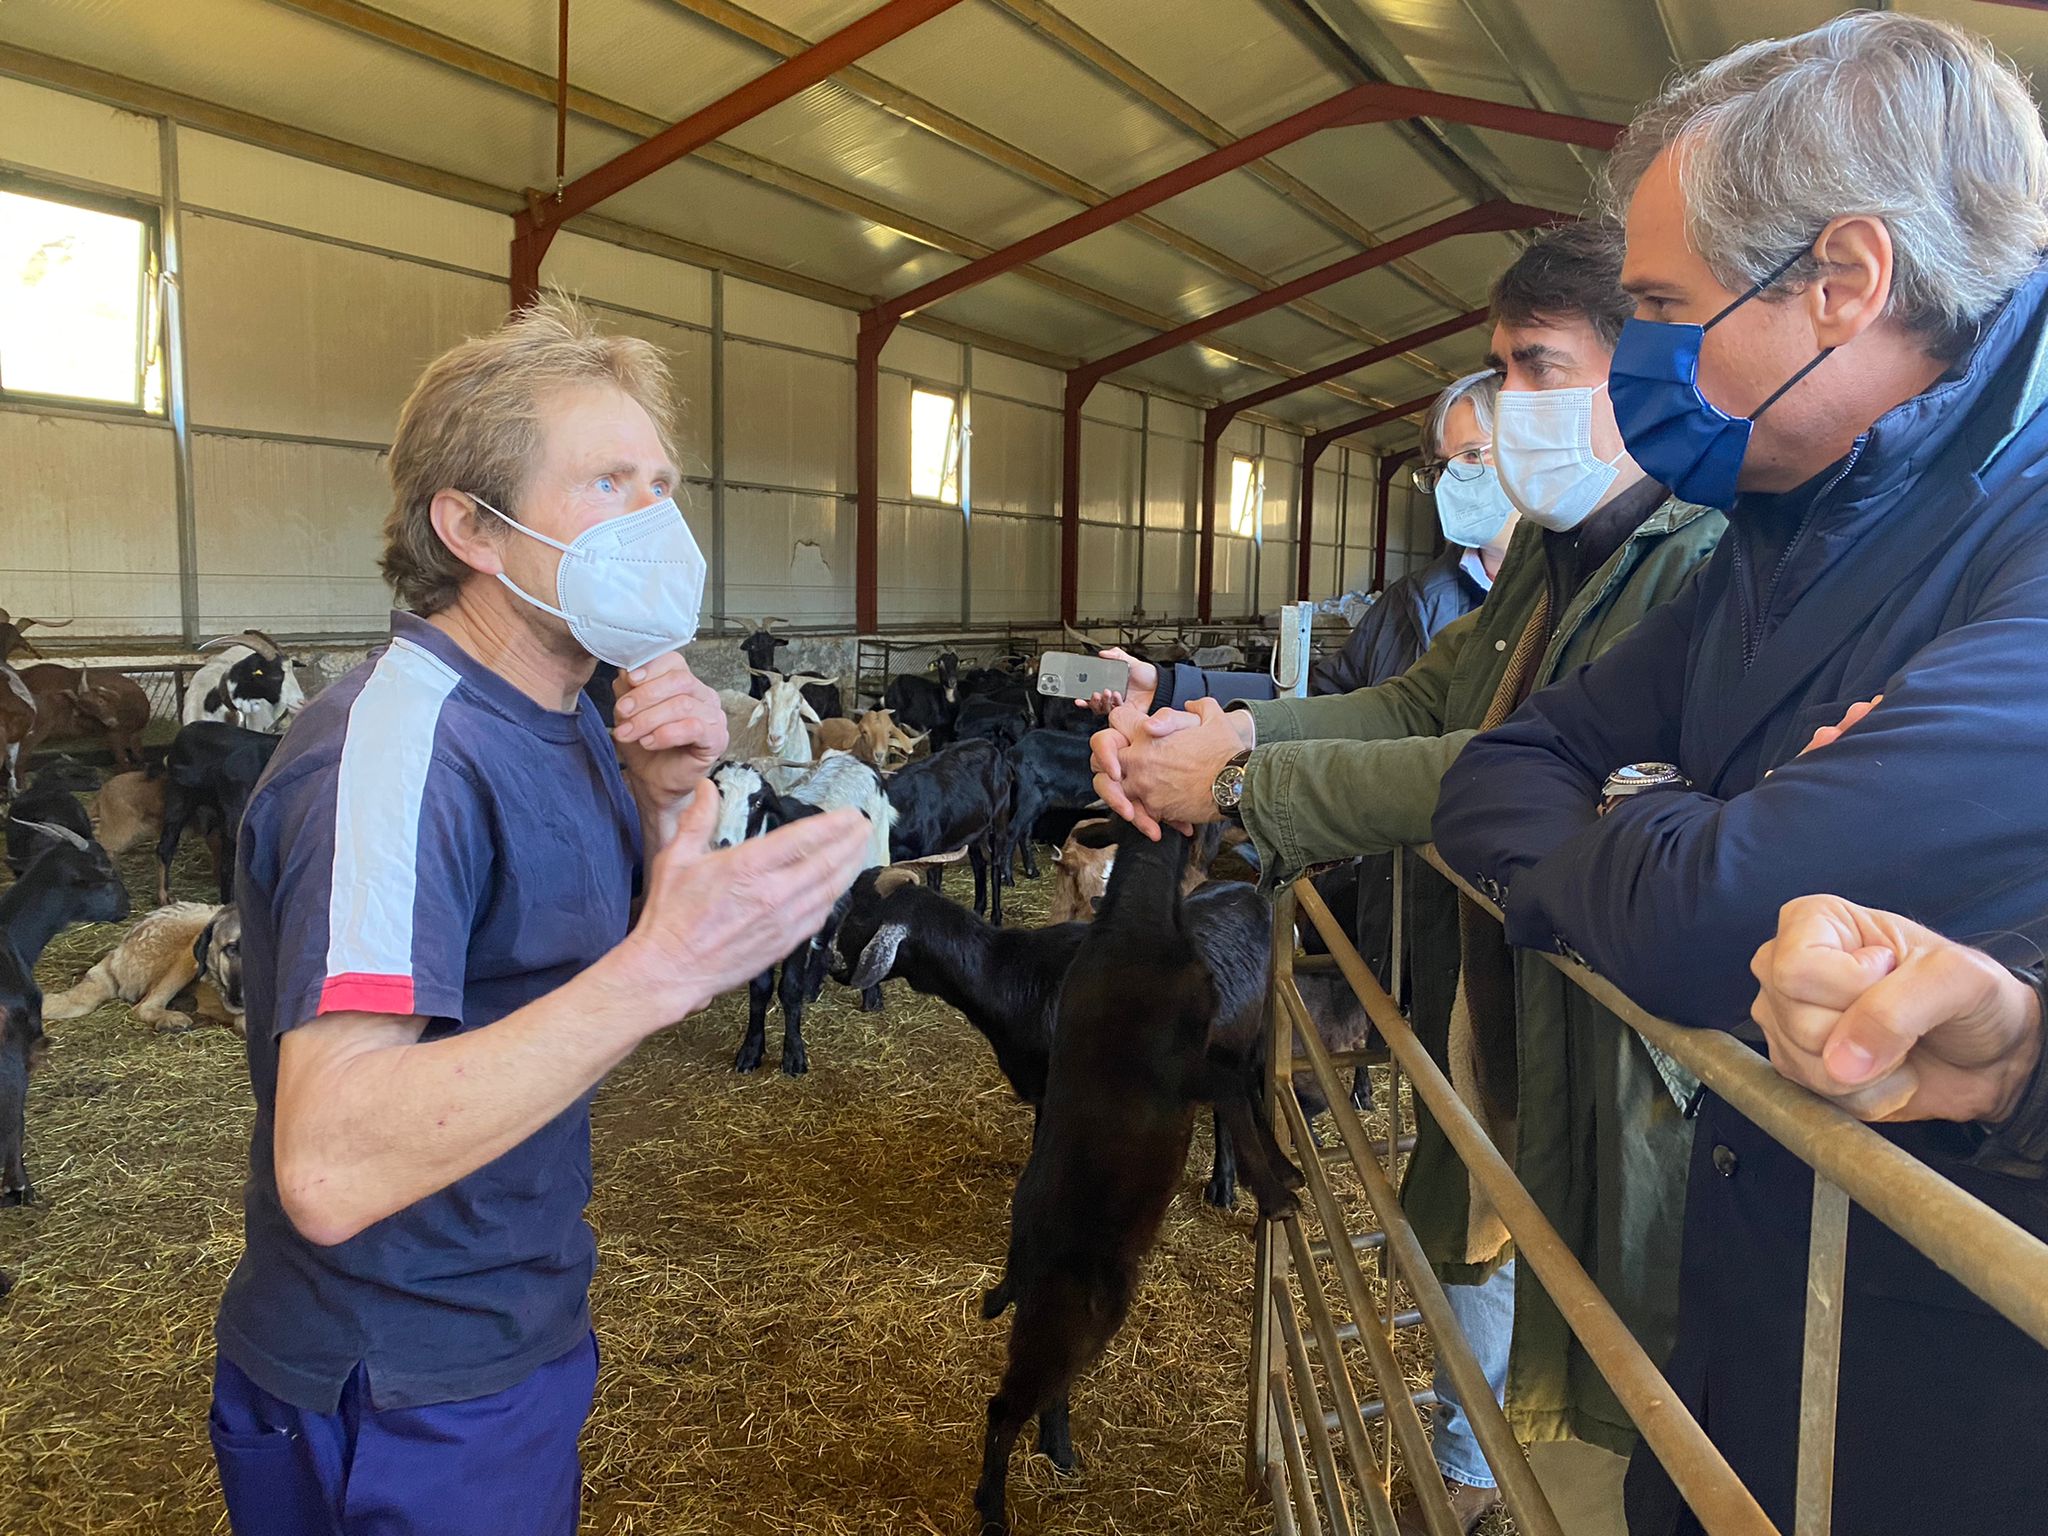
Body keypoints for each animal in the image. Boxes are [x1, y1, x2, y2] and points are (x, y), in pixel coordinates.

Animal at [884, 741, 1011, 933]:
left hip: (999, 822)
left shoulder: (932, 855)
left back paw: (996, 919)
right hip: (973, 832)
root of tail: (992, 747)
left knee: (996, 865)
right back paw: (977, 911)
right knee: (979, 865)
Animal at [970, 831, 1294, 1536]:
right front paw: (1278, 1191)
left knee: (1048, 1389)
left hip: (1077, 1316)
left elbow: (1247, 1094)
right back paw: (991, 1508)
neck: (1136, 924)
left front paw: (1283, 1172)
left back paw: (1059, 1453)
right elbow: (1238, 1093)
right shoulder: (1189, 1065)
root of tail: (1018, 1259)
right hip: (1070, 1311)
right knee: (1006, 1405)